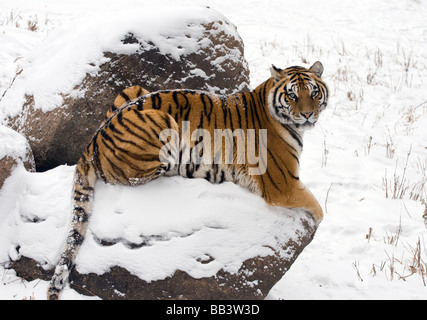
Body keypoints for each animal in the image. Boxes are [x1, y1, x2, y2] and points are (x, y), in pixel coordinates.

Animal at [48, 61, 332, 298]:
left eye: (314, 93)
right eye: (292, 95)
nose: (308, 115)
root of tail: (92, 142)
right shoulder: (284, 186)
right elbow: (318, 208)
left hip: (134, 89)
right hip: (160, 122)